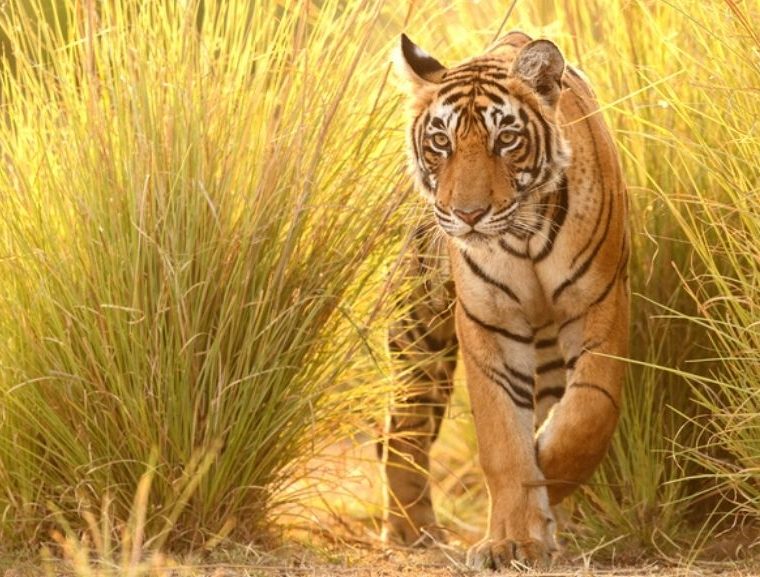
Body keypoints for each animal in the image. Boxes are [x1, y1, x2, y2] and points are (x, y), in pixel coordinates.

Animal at [383, 30, 629, 569]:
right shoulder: (489, 322)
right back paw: (414, 531)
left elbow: (586, 415)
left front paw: (546, 482)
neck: (524, 236)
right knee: (401, 431)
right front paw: (512, 541)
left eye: (507, 140)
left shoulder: (598, 304)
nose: (468, 214)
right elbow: (503, 440)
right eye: (441, 142)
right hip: (418, 335)